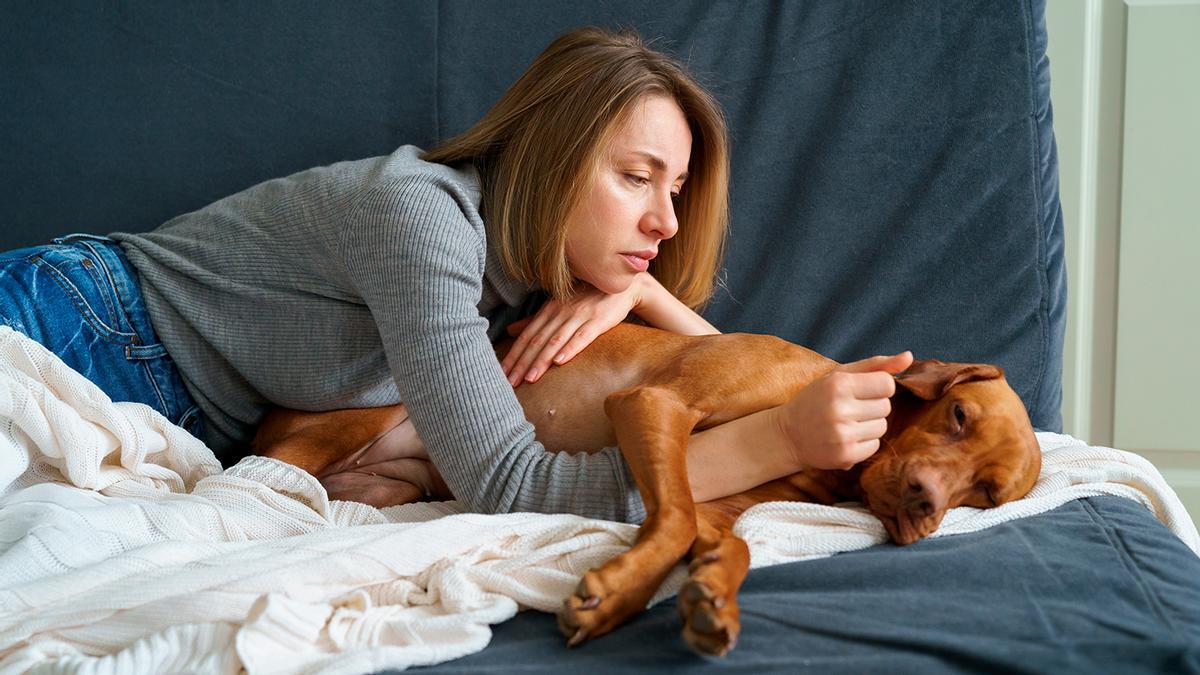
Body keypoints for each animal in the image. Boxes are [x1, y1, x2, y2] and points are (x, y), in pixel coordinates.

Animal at [255, 324, 1041, 653]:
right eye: (959, 416)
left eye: (986, 495)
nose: (925, 503)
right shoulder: (653, 406)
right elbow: (674, 518)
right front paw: (614, 594)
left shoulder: (723, 505)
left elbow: (727, 543)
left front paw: (710, 597)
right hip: (353, 417)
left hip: (394, 482)